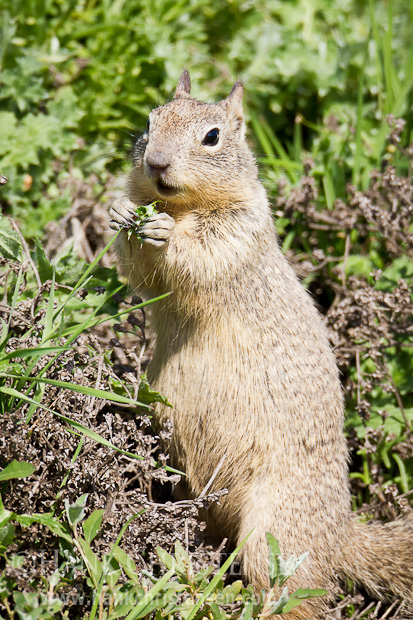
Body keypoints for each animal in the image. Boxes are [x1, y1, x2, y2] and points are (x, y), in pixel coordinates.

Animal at [109, 71, 412, 616]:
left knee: (295, 590)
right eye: (149, 120)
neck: (183, 204)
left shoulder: (238, 233)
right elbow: (138, 270)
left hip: (276, 529)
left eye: (212, 137)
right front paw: (124, 210)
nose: (156, 162)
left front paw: (164, 230)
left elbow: (199, 251)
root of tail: (339, 535)